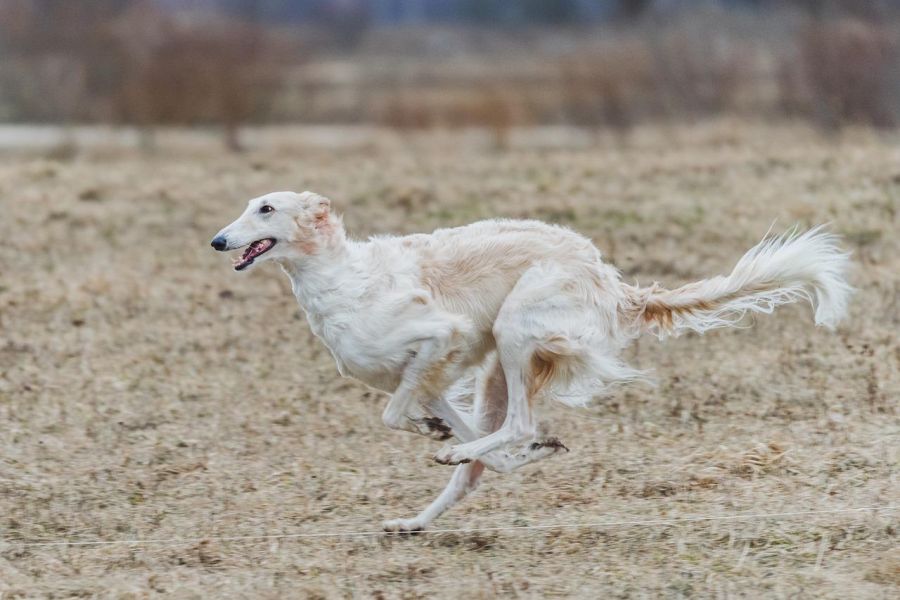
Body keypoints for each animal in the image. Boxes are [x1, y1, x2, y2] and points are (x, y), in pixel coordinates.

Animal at [211, 190, 852, 532]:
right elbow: (446, 429)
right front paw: (451, 435)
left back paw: (471, 454)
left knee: (517, 424)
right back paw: (419, 515)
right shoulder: (429, 375)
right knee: (484, 460)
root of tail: (612, 282)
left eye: (266, 208)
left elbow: (397, 416)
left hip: (514, 330)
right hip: (498, 367)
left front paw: (442, 437)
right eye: (247, 206)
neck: (341, 280)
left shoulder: (440, 336)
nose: (218, 241)